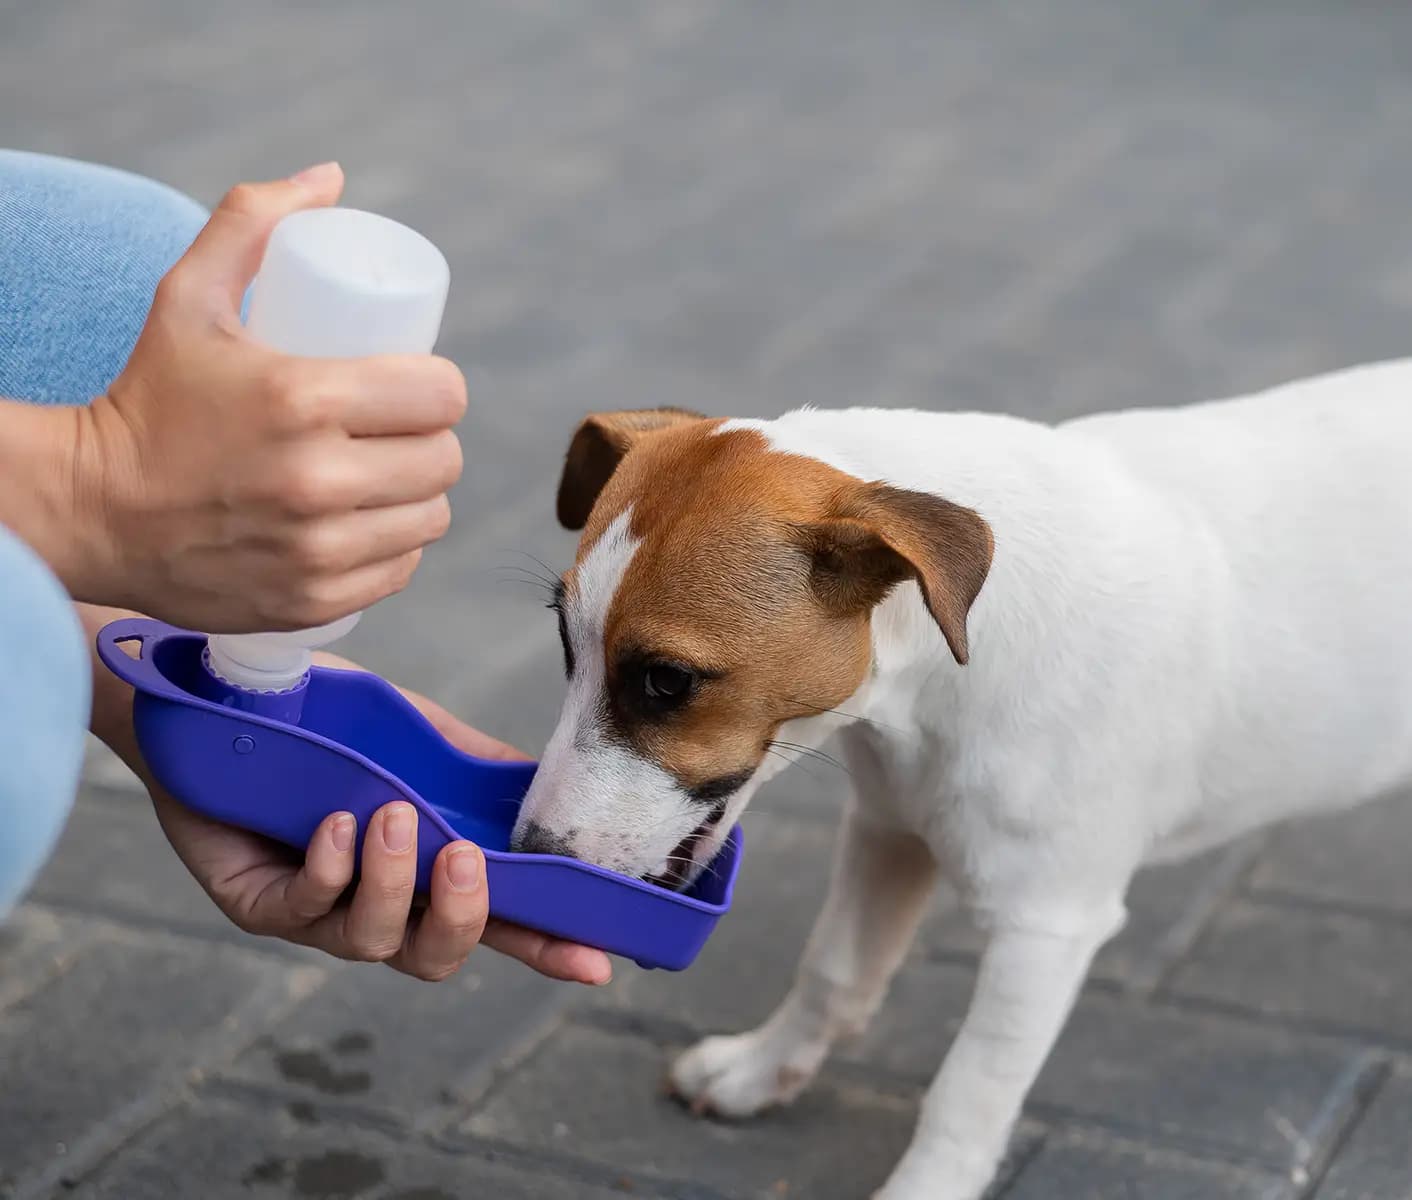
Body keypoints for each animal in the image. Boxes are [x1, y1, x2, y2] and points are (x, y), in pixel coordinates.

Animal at [508, 357, 1412, 1197]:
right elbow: (834, 971)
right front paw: (762, 1071)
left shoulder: (1046, 925)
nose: (530, 846)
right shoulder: (889, 829)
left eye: (667, 681)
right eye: (565, 644)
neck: (946, 670)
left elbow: (970, 1089)